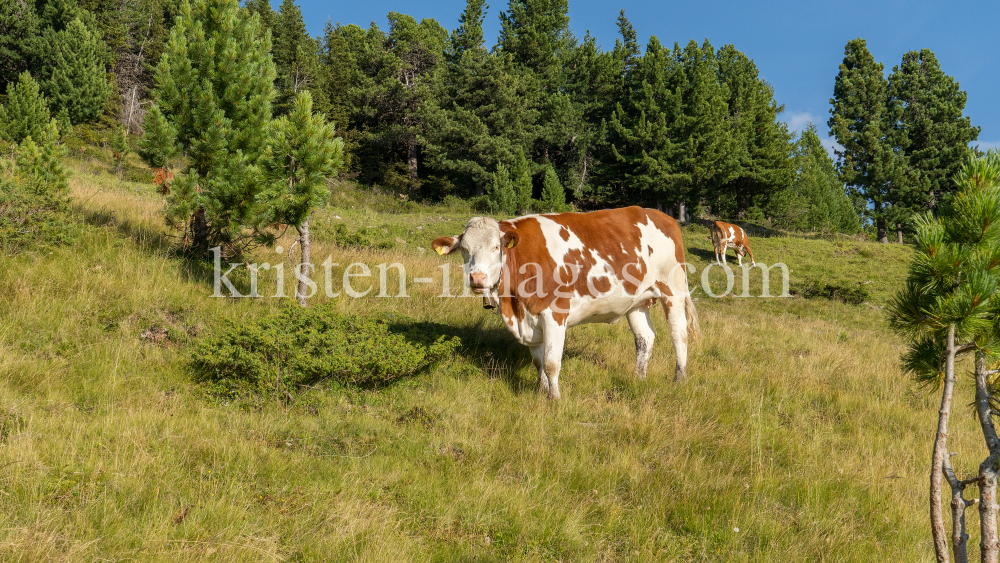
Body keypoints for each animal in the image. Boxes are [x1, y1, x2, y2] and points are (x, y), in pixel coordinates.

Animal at [434, 207, 700, 400]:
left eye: (496, 247)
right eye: (464, 249)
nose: (477, 278)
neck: (514, 305)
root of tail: (661, 215)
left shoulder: (555, 313)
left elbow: (552, 363)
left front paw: (555, 400)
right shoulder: (530, 318)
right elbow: (539, 362)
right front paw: (541, 393)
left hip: (673, 288)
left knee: (679, 333)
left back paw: (680, 379)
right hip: (636, 301)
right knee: (645, 337)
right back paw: (638, 377)